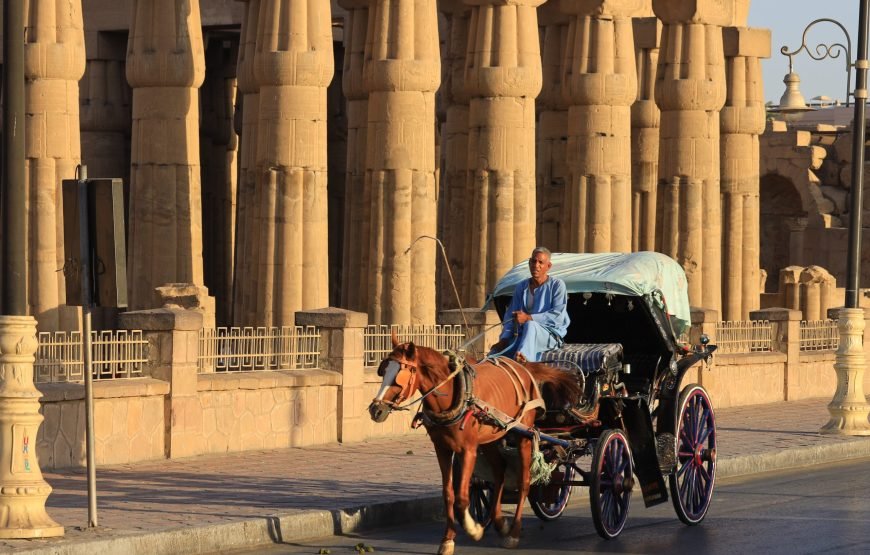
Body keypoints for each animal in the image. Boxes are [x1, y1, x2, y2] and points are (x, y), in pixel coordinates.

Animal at [367, 332, 581, 555]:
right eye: (383, 371)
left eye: (401, 374)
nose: (375, 410)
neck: (453, 395)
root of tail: (524, 366)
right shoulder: (442, 449)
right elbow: (449, 494)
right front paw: (448, 540)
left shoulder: (468, 449)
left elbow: (462, 499)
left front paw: (474, 529)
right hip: (491, 438)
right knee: (499, 473)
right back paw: (500, 523)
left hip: (524, 434)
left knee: (524, 482)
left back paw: (513, 532)